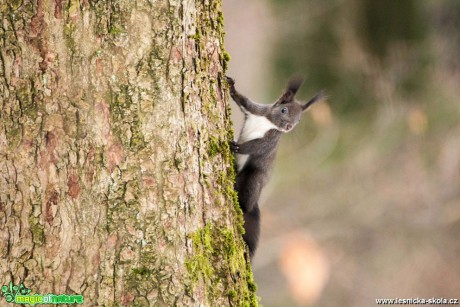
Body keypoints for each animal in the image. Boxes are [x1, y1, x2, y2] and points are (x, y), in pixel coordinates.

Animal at [226, 76, 324, 258]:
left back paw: (243, 207)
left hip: (254, 177)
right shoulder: (256, 110)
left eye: (299, 120)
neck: (268, 122)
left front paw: (238, 147)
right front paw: (231, 86)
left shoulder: (270, 140)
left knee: (248, 199)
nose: (289, 127)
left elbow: (256, 147)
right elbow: (243, 101)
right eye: (284, 110)